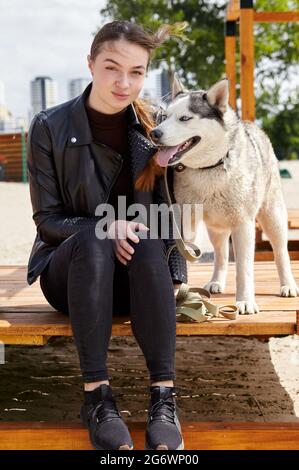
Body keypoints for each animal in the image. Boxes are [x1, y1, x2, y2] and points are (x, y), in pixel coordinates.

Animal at [151, 75, 298, 314]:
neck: (209, 168)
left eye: (185, 118)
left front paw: (245, 301)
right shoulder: (186, 223)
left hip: (273, 216)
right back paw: (216, 282)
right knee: (221, 254)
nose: (154, 133)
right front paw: (183, 297)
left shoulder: (244, 225)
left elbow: (244, 269)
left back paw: (288, 284)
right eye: (164, 117)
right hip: (216, 228)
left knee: (280, 252)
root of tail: (252, 127)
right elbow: (186, 257)